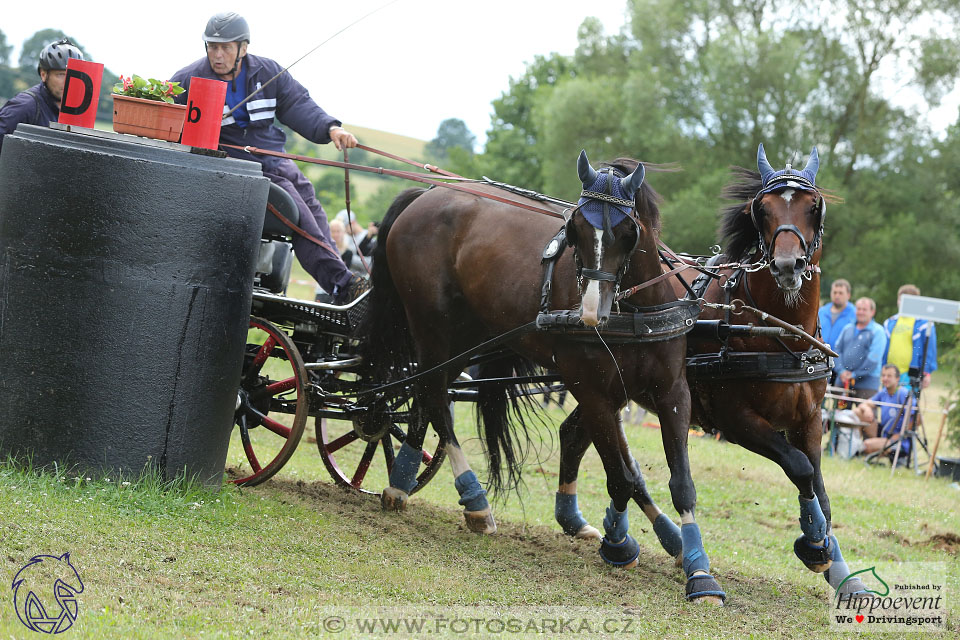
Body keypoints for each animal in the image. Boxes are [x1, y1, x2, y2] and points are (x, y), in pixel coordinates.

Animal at [360, 151, 728, 604]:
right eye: (575, 228)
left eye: (628, 231)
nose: (589, 314)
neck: (634, 311)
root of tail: (426, 195)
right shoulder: (592, 392)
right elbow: (620, 476)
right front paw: (619, 545)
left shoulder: (671, 393)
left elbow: (677, 482)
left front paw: (697, 568)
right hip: (431, 324)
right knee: (434, 395)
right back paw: (474, 499)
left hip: (469, 330)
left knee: (428, 392)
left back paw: (400, 481)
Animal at [556, 144, 872, 596]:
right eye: (762, 209)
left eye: (814, 206)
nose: (788, 265)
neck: (776, 330)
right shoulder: (736, 421)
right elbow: (799, 467)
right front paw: (814, 546)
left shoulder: (810, 420)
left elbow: (819, 487)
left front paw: (840, 571)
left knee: (579, 436)